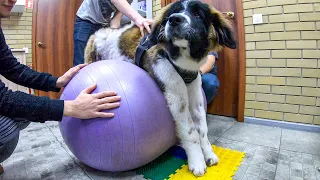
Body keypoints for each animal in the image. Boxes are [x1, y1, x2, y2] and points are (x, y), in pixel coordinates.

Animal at [84, 0, 236, 176]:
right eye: (172, 13)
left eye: (197, 14)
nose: (174, 19)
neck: (182, 59)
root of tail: (99, 31)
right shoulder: (176, 97)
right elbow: (190, 131)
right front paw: (197, 161)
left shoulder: (195, 92)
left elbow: (202, 127)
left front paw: (208, 154)